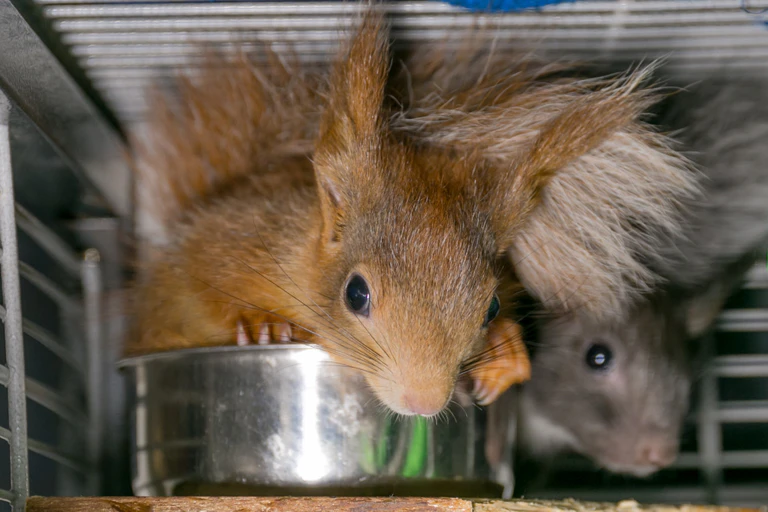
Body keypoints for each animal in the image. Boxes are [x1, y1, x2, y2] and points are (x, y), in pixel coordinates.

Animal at [127, 8, 698, 417]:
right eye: (355, 294)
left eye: (489, 307)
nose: (424, 402)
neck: (300, 254)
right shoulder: (231, 240)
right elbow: (198, 289)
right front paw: (262, 323)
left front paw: (506, 352)